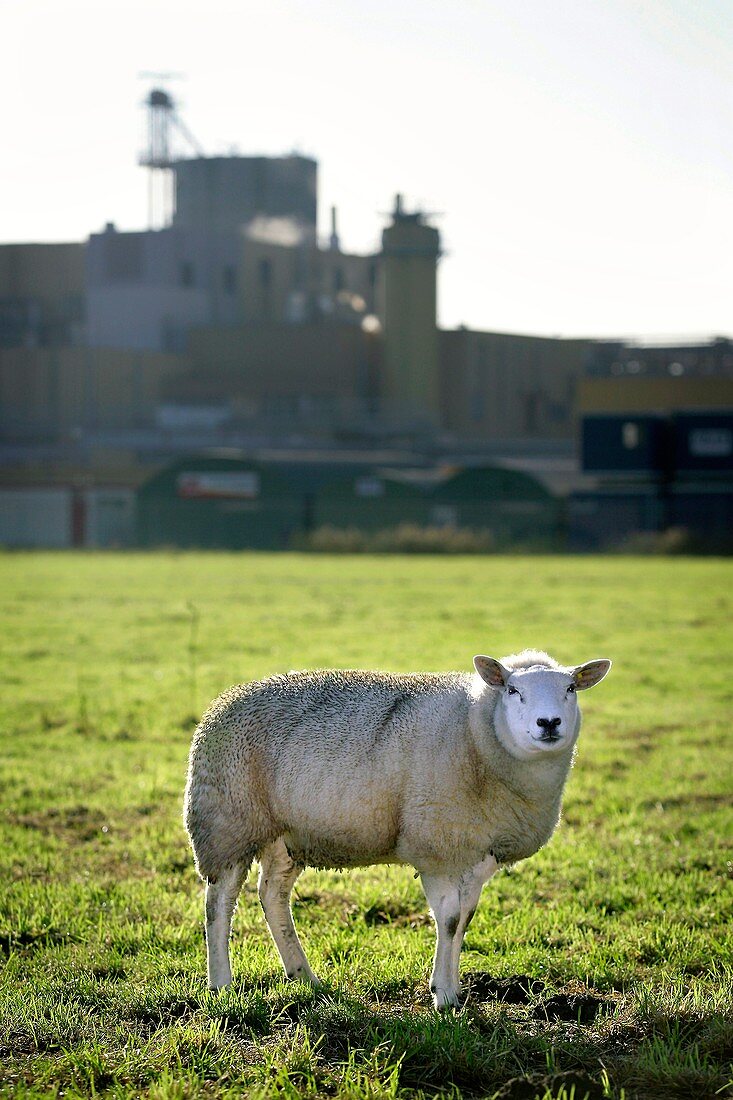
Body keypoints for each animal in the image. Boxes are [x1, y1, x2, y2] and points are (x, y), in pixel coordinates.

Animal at [186, 646, 607, 1007]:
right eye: (513, 689)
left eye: (570, 688)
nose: (548, 723)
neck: (476, 731)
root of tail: (224, 701)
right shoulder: (436, 846)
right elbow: (449, 921)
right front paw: (443, 995)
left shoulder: (478, 851)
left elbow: (464, 920)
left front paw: (453, 988)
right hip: (227, 822)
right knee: (219, 905)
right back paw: (221, 983)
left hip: (286, 834)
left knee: (272, 895)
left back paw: (304, 976)